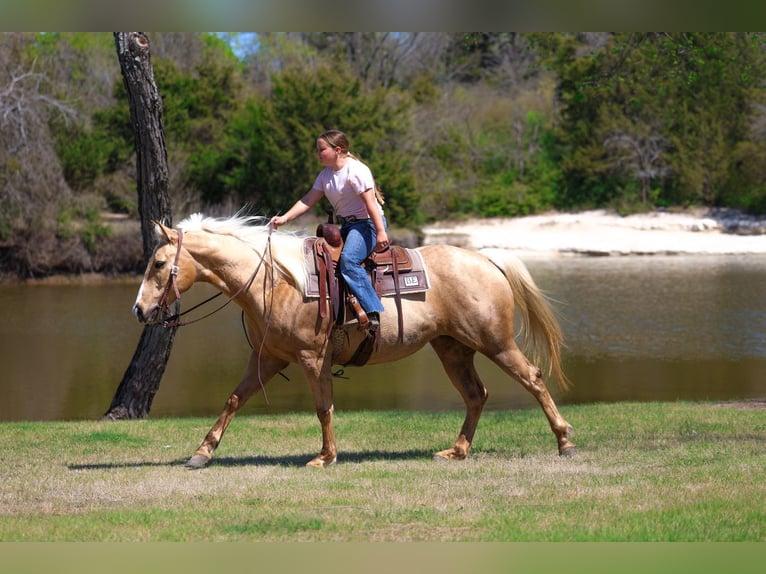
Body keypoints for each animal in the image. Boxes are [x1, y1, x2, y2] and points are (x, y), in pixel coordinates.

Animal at [132, 213, 575, 468]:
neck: (275, 282)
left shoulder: (312, 359)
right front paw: (201, 454)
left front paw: (325, 457)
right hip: (453, 349)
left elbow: (323, 407)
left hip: (495, 342)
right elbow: (233, 400)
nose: (139, 309)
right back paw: (457, 451)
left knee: (533, 378)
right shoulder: (267, 358)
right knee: (476, 394)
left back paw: (565, 442)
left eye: (159, 264)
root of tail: (485, 258)